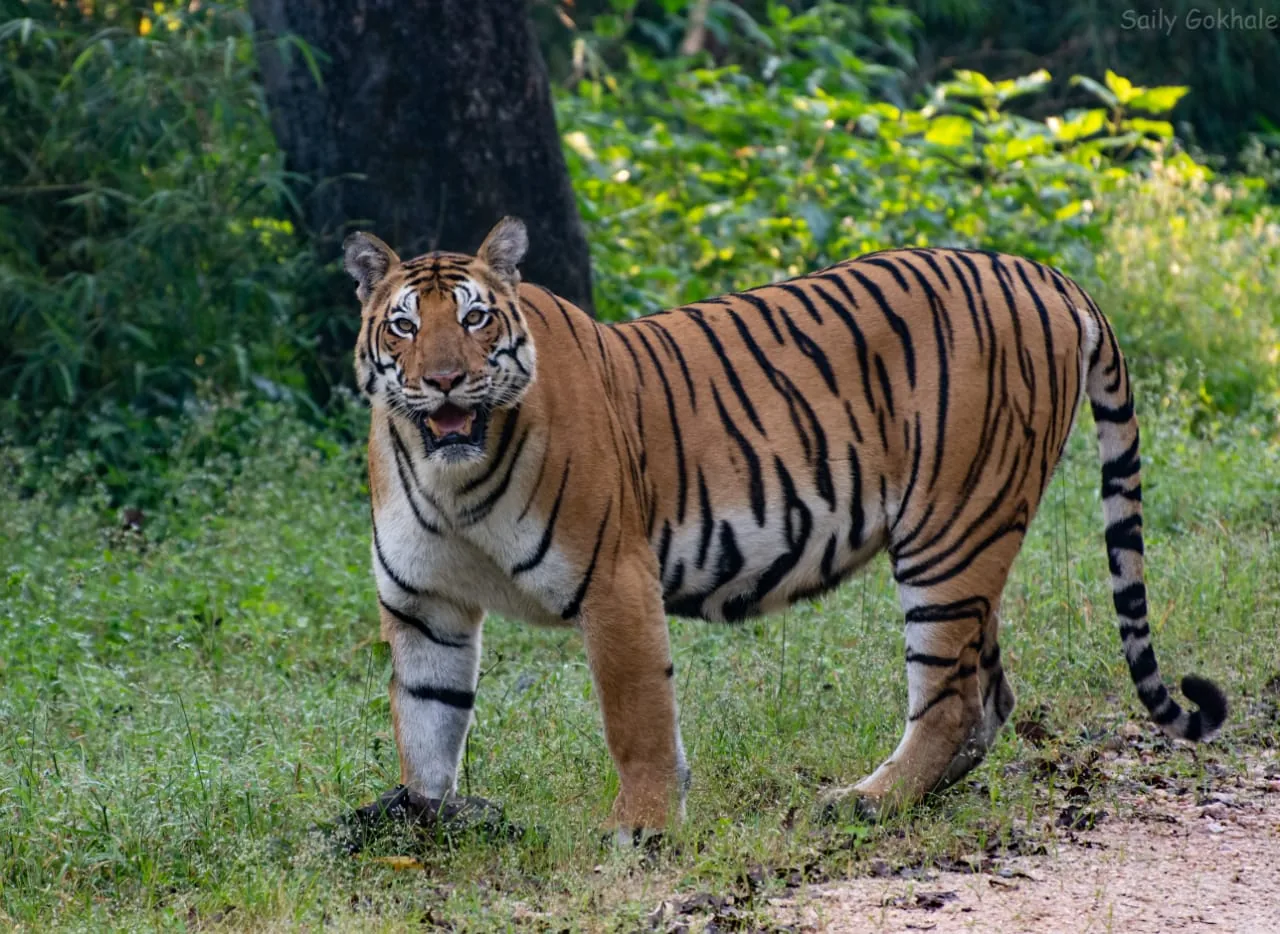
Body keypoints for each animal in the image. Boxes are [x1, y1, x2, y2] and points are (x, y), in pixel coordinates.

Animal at [342, 216, 1227, 835]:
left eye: (476, 319)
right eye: (404, 326)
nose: (443, 381)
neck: (451, 477)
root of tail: (1043, 272)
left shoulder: (615, 580)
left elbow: (635, 716)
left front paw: (642, 828)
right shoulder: (424, 607)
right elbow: (425, 722)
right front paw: (424, 826)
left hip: (949, 535)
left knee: (951, 702)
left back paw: (868, 802)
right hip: (977, 537)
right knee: (989, 698)